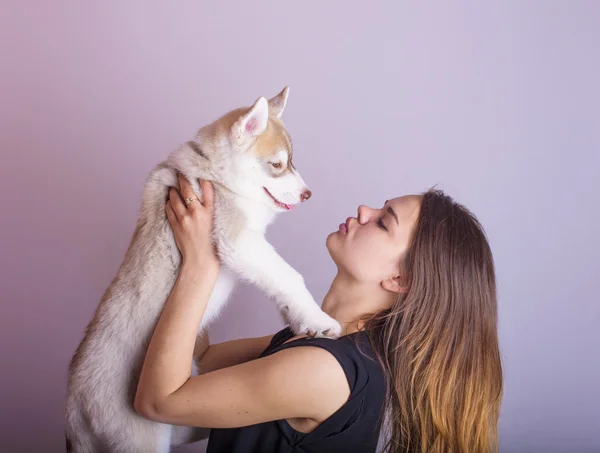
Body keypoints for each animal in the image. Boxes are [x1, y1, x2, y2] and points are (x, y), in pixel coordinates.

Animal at [64, 88, 342, 452]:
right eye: (277, 165)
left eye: (291, 162)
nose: (308, 195)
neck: (214, 172)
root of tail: (74, 405)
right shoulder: (239, 242)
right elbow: (289, 276)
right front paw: (319, 319)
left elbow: (280, 285)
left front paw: (301, 321)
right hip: (143, 437)